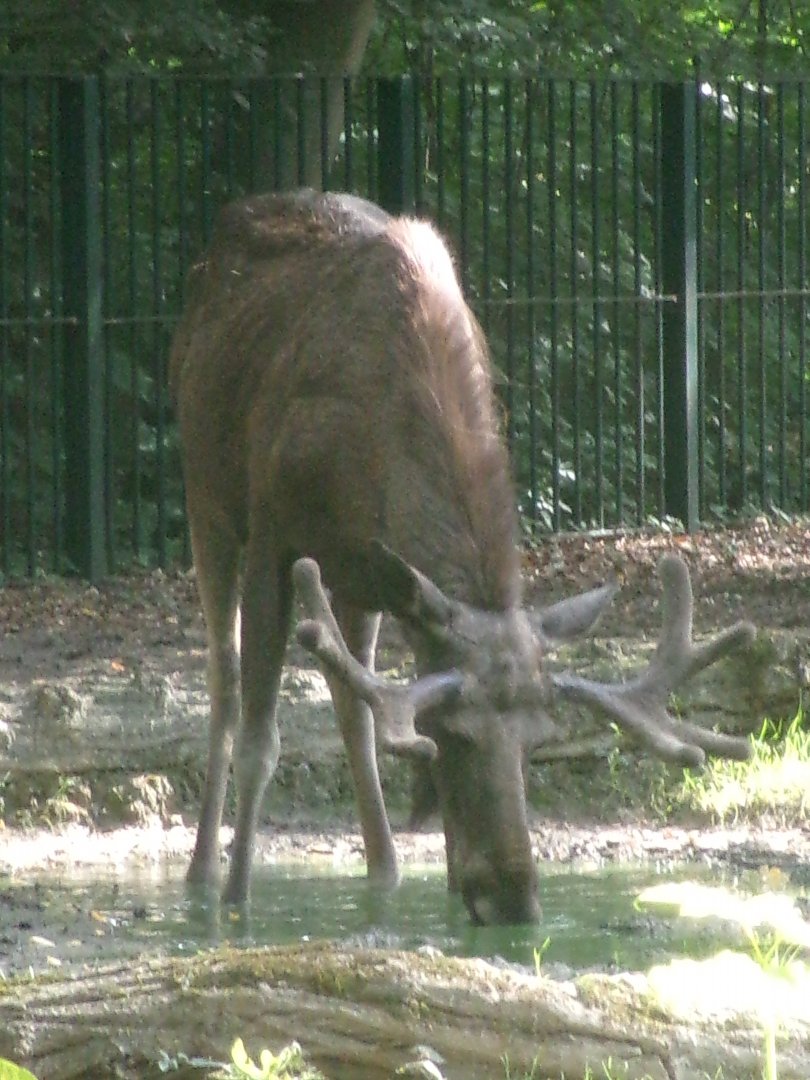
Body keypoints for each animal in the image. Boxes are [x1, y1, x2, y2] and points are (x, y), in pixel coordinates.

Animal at [169, 188, 755, 926]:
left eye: (540, 741)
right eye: (454, 734)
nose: (513, 896)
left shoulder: (380, 571)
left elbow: (369, 710)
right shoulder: (274, 531)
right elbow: (260, 743)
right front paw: (236, 907)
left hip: (355, 578)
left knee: (353, 702)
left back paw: (385, 873)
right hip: (208, 499)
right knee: (224, 682)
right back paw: (200, 876)